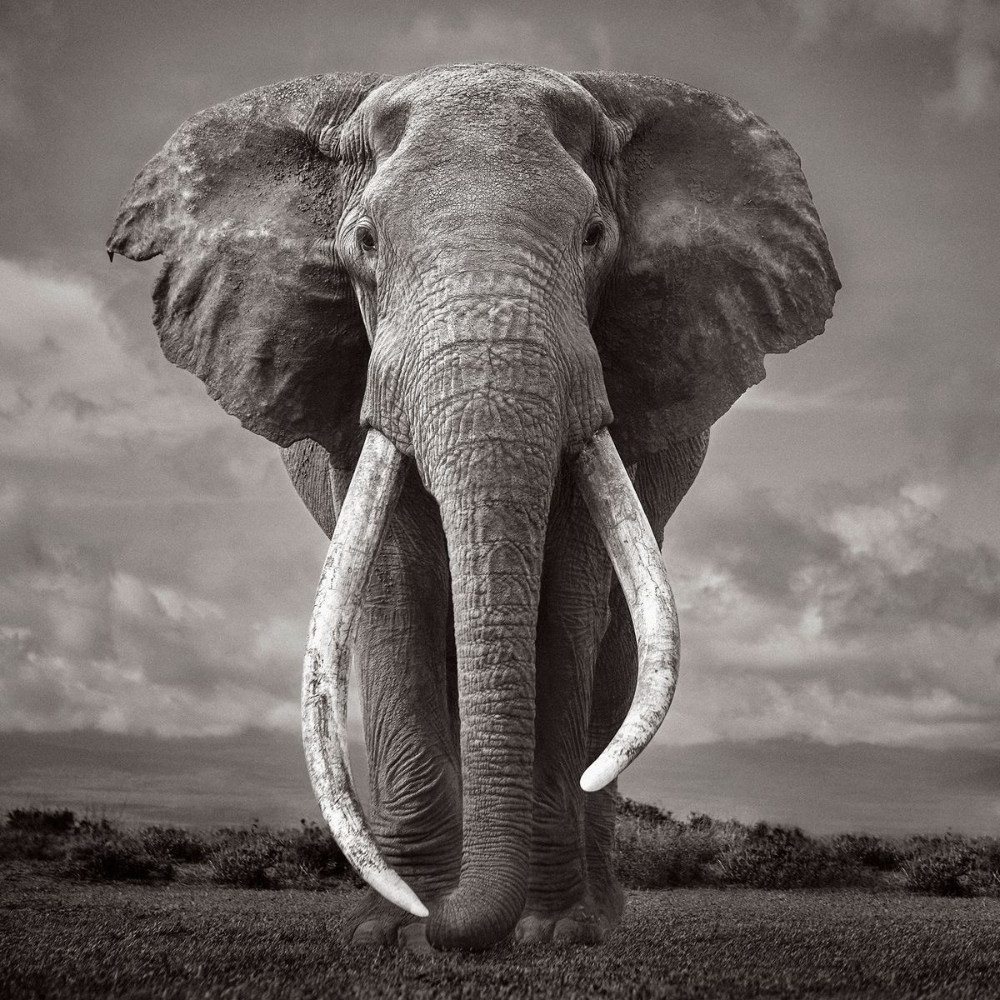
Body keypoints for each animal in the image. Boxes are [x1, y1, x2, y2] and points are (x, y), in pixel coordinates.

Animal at [108, 63, 838, 952]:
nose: (446, 926)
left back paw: (596, 917)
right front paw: (391, 931)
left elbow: (566, 606)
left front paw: (549, 932)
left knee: (616, 653)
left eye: (594, 236)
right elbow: (394, 595)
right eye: (365, 242)